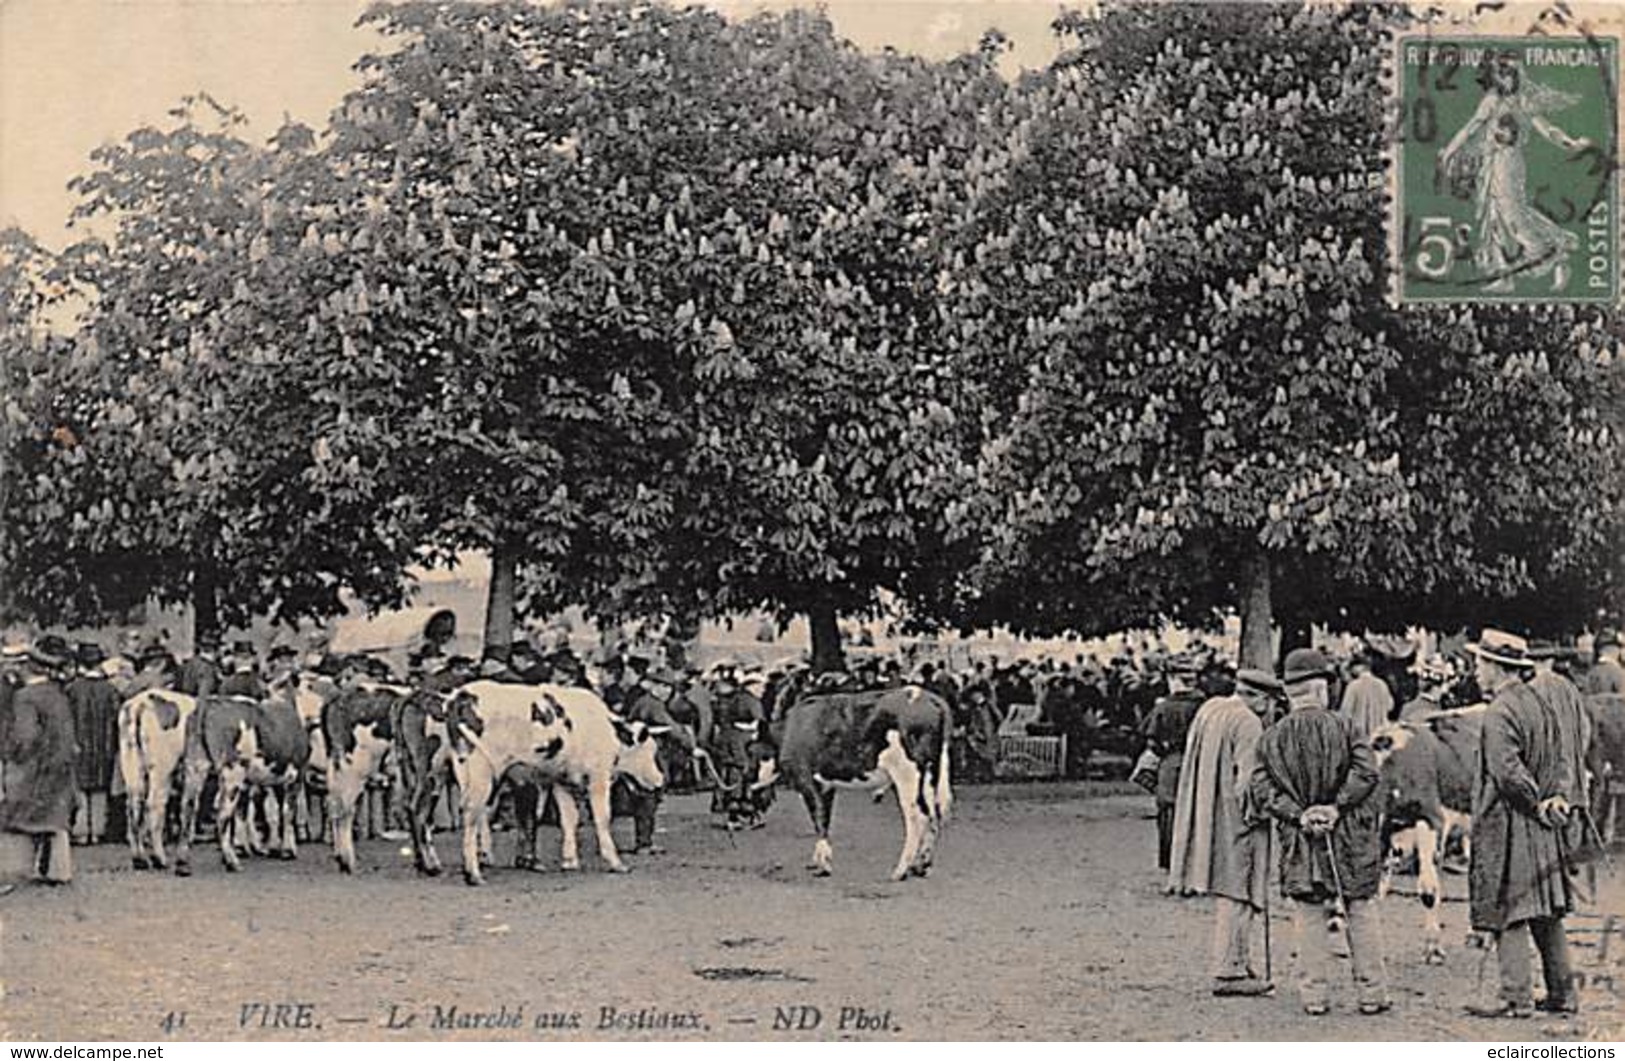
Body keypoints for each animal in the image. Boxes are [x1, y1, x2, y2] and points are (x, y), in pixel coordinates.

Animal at [116, 685, 198, 870]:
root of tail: (140, 703)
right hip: (162, 770)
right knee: (154, 805)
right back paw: (159, 857)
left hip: (132, 766)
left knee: (134, 806)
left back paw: (139, 858)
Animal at [176, 682, 312, 870]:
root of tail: (208, 705)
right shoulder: (295, 776)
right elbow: (287, 812)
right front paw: (288, 850)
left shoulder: (256, 782)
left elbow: (249, 812)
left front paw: (253, 847)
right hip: (232, 774)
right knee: (222, 814)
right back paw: (231, 861)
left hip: (194, 767)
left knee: (187, 810)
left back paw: (183, 861)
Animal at [445, 679, 666, 883]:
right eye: (648, 751)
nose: (660, 781)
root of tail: (462, 695)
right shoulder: (598, 777)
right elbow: (602, 818)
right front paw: (616, 862)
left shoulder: (561, 781)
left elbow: (569, 818)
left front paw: (569, 861)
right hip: (481, 770)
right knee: (472, 811)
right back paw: (474, 873)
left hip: (464, 767)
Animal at [757, 682, 949, 883]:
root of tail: (928, 697)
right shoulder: (826, 786)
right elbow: (824, 820)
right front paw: (818, 862)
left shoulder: (806, 780)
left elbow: (818, 818)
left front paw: (823, 866)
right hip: (931, 775)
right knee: (934, 815)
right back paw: (921, 867)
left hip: (907, 774)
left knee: (918, 817)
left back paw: (900, 871)